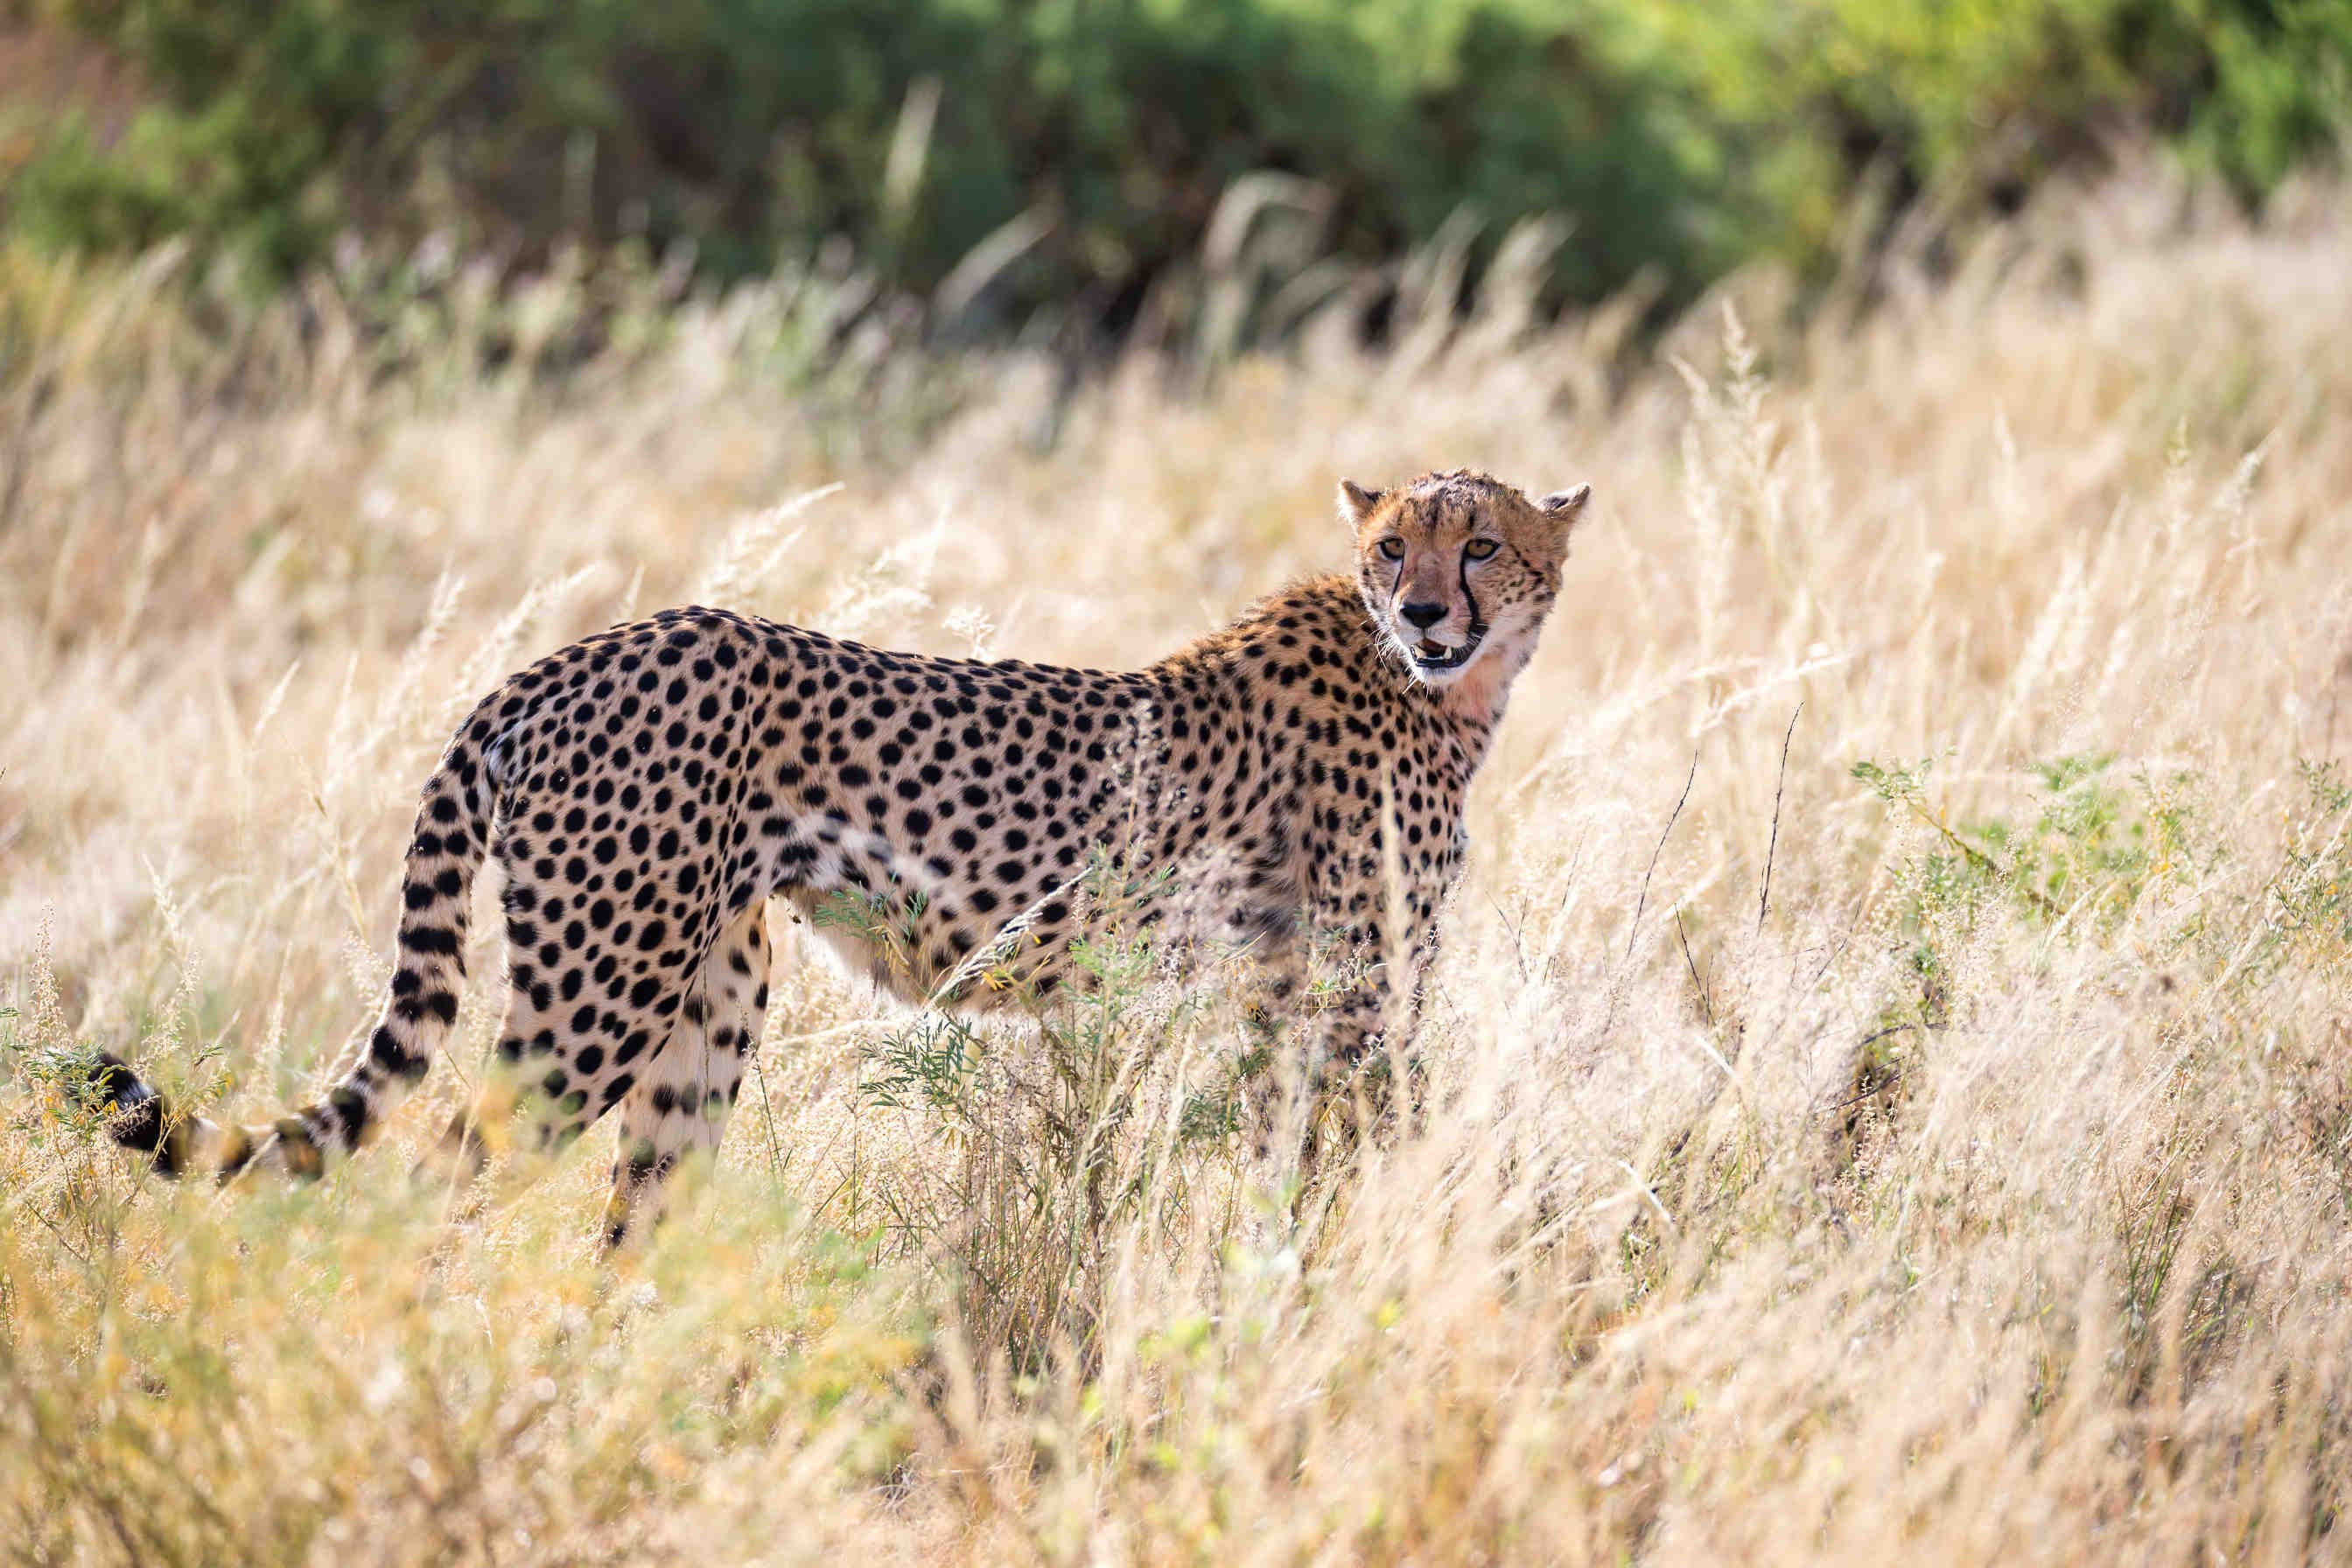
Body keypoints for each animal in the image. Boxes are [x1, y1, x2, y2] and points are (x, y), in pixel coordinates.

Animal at [79, 469, 1592, 1242]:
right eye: (1392, 544)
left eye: (1482, 543)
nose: (1425, 609)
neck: (1443, 689)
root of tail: (571, 655)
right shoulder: (1356, 990)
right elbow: (1372, 1150)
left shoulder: (1288, 993)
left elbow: (1290, 1159)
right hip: (599, 989)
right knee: (451, 1155)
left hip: (711, 997)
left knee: (636, 1206)